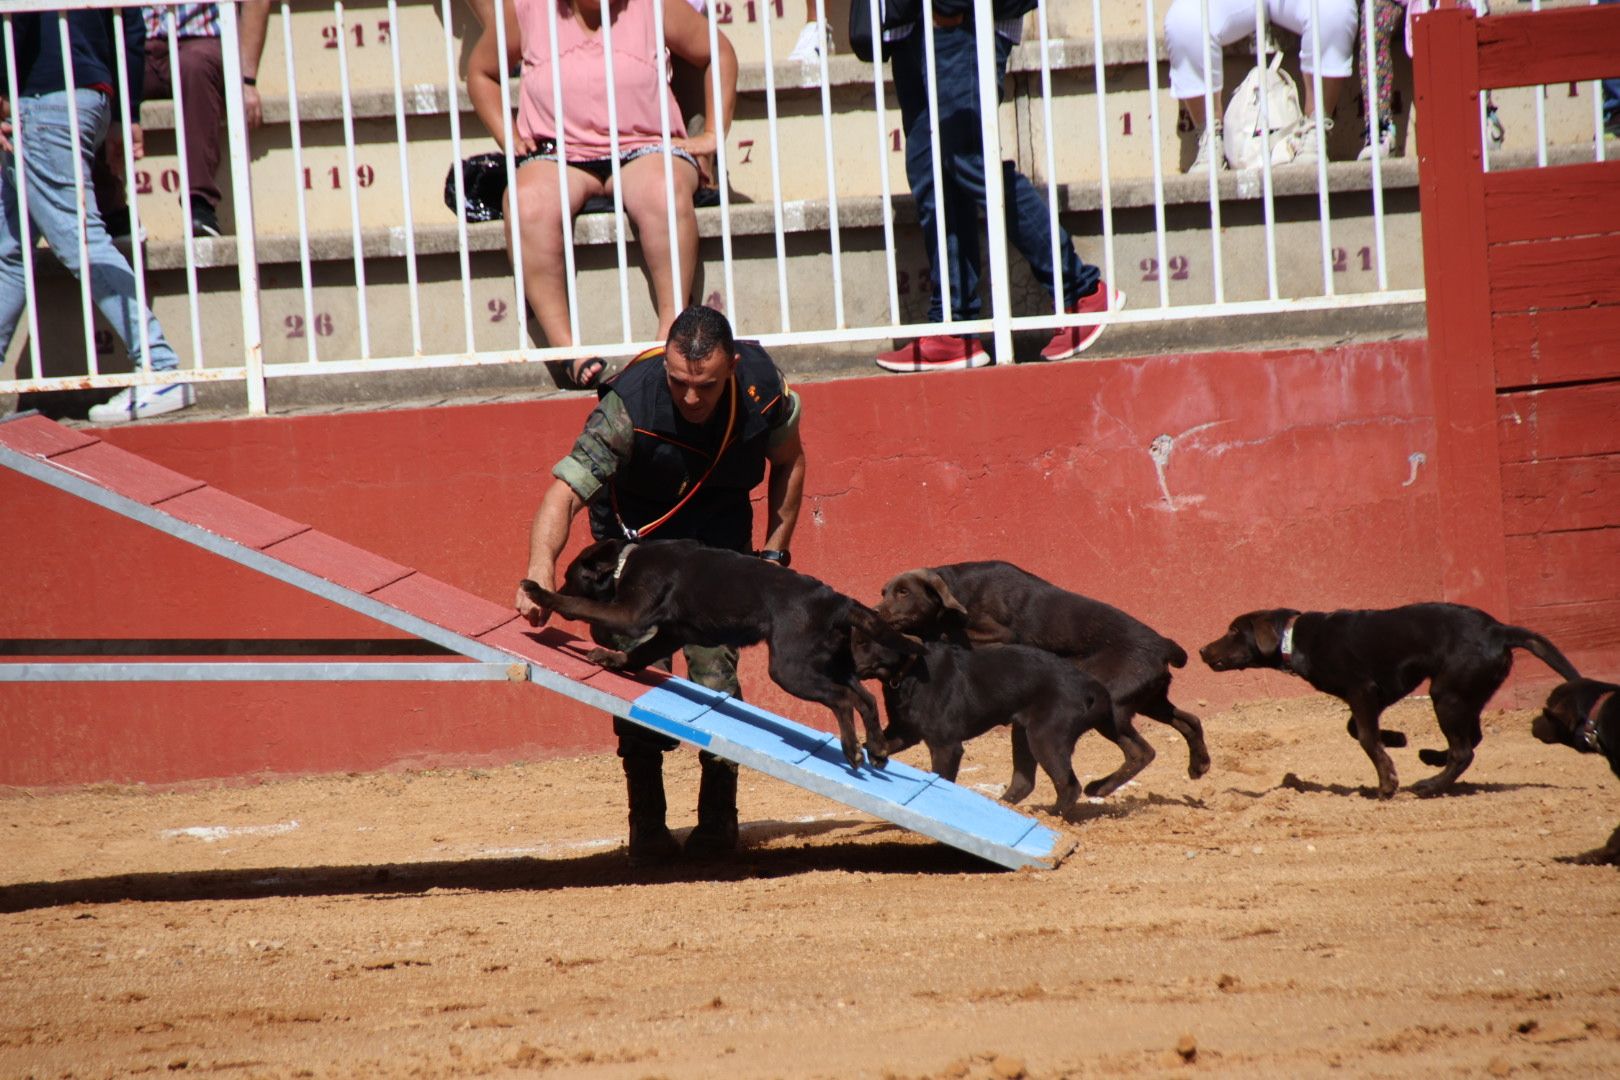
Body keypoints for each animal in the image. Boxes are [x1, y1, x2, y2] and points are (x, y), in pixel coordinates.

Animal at [524, 537, 920, 767]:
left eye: (569, 577)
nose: (557, 584)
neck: (625, 561)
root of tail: (838, 601)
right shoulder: (672, 632)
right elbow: (639, 654)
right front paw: (613, 659)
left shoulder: (631, 613)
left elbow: (581, 605)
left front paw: (541, 594)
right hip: (832, 665)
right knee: (866, 699)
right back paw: (877, 750)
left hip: (790, 670)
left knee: (841, 700)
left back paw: (852, 750)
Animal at [874, 563, 1205, 799]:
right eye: (884, 592)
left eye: (903, 592)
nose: (875, 612)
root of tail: (1164, 645)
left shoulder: (997, 634)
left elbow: (953, 636)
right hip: (1149, 702)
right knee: (1189, 720)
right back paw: (1199, 764)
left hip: (1111, 707)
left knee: (1140, 751)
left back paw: (1100, 787)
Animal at [1205, 605, 1581, 799]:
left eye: (1235, 631)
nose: (1202, 651)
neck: (1295, 638)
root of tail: (1500, 630)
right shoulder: (1380, 691)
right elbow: (1357, 729)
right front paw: (1397, 739)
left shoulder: (1362, 690)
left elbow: (1365, 738)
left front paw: (1387, 783)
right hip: (1463, 693)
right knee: (1470, 738)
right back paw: (1431, 758)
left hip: (1447, 694)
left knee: (1464, 750)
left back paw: (1428, 786)